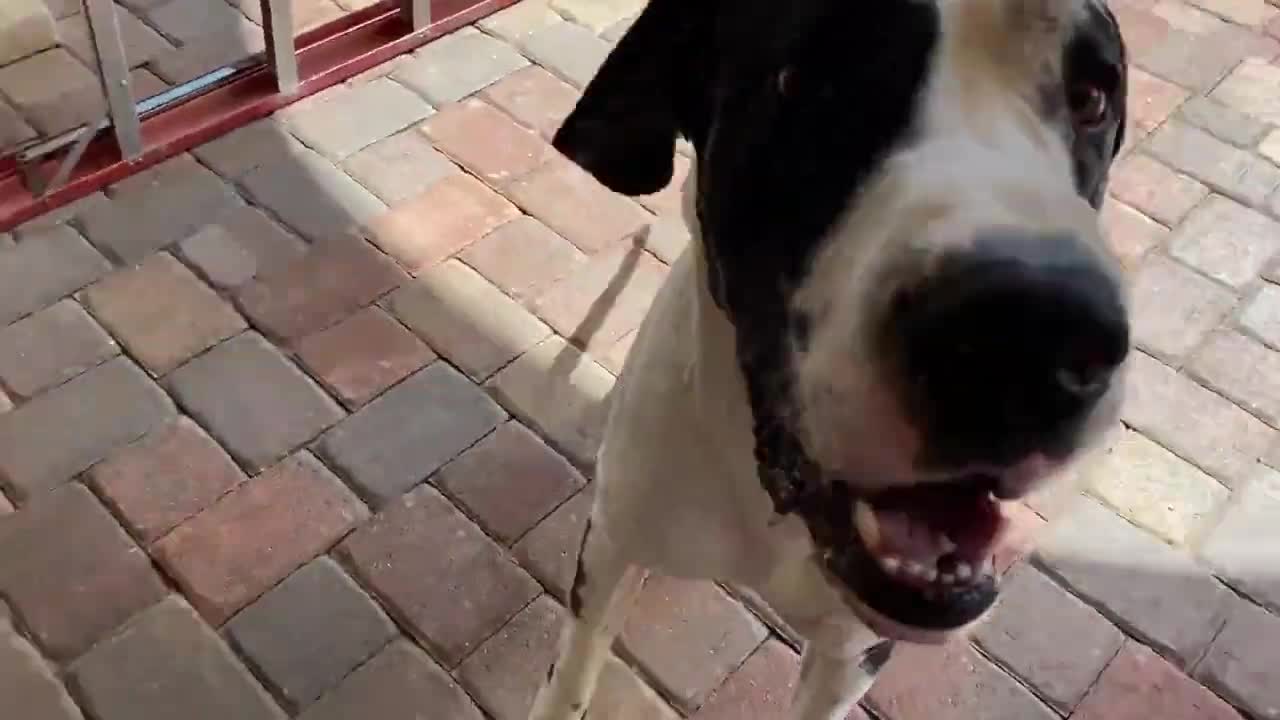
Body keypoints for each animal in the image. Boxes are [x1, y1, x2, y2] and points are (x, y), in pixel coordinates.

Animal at [529, 2, 1131, 712]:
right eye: (813, 82)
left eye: (1091, 98)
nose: (1027, 335)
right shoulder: (610, 550)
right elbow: (569, 680)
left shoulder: (852, 653)